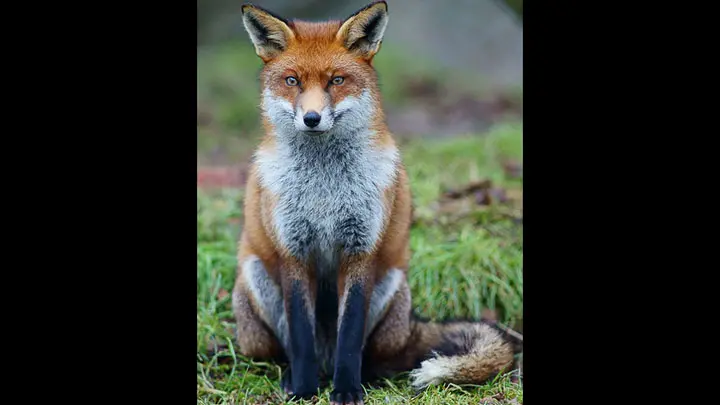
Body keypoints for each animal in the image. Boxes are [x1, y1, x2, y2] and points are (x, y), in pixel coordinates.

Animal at [231, 1, 518, 404]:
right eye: (292, 81)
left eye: (336, 80)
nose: (311, 118)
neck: (325, 187)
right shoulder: (293, 250)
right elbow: (301, 338)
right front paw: (303, 390)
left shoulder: (361, 249)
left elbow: (351, 337)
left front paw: (347, 390)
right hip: (255, 289)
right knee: (287, 349)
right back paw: (293, 375)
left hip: (392, 286)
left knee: (374, 356)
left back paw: (365, 377)